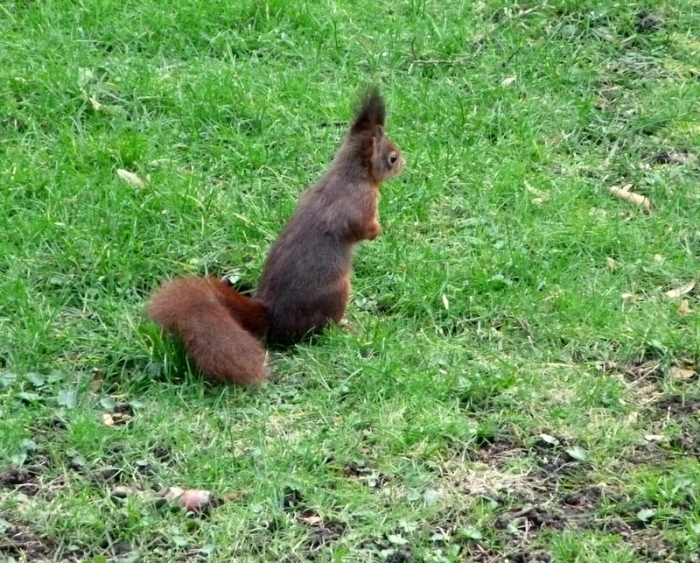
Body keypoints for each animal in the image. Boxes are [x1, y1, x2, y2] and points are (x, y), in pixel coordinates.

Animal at [147, 88, 405, 386]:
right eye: (392, 158)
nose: (405, 161)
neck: (351, 173)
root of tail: (272, 318)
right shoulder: (360, 203)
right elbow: (363, 229)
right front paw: (378, 230)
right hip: (338, 293)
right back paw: (343, 328)